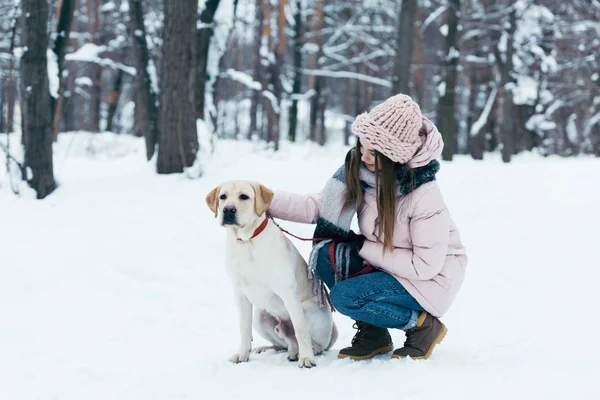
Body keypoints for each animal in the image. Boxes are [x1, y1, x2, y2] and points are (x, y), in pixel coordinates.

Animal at [206, 180, 338, 368]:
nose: (228, 210)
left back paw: (302, 352)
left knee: (308, 342)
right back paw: (269, 349)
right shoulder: (240, 293)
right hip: (260, 316)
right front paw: (242, 354)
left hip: (309, 310)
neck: (247, 241)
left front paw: (307, 358)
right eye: (223, 196)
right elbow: (244, 329)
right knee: (285, 343)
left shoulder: (288, 291)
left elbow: (301, 330)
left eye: (244, 196)